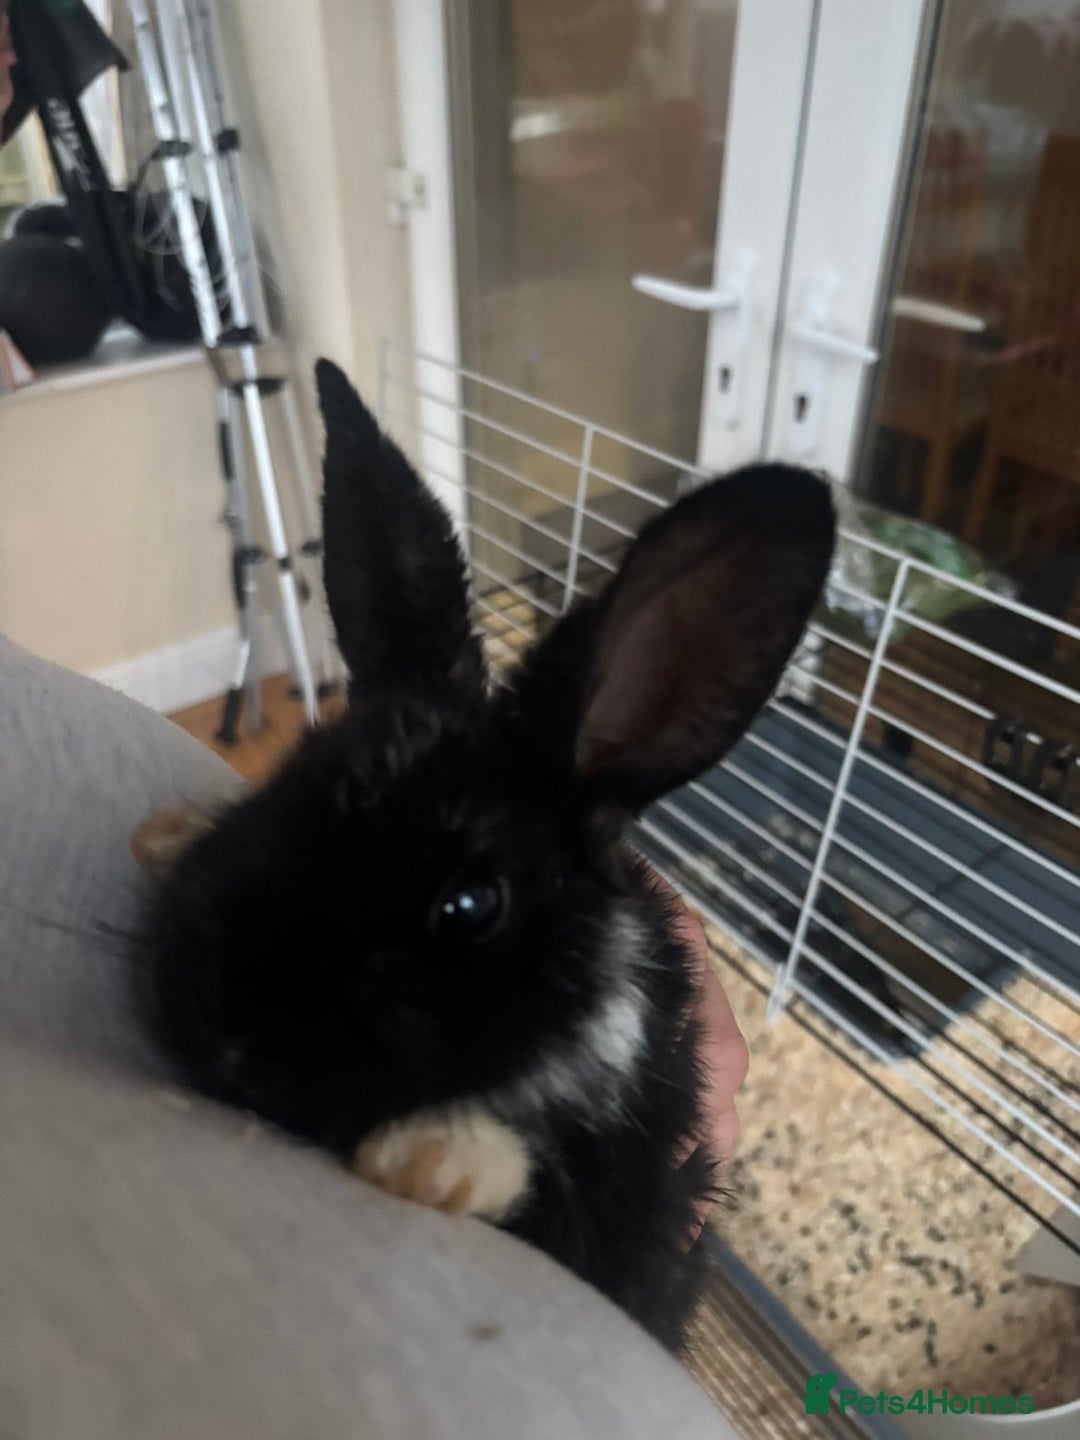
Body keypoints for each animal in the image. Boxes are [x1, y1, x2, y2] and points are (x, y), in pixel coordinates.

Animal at [132, 359, 836, 1352]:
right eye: (290, 778)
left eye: (472, 904)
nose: (217, 1020)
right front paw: (167, 832)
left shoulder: (630, 1205)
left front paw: (432, 1158)